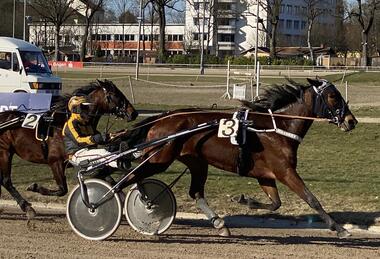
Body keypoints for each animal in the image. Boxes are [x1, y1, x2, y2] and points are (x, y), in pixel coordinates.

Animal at [0, 80, 137, 218]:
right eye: (116, 95)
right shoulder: (55, 162)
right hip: (5, 152)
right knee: (6, 181)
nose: (133, 113)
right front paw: (35, 187)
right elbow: (62, 189)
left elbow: (107, 177)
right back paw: (27, 207)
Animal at [120, 77, 358, 240]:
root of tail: (162, 118)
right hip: (159, 160)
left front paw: (244, 200)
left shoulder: (266, 175)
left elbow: (276, 204)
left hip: (196, 162)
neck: (277, 129)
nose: (351, 121)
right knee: (131, 177)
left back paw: (220, 224)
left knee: (195, 192)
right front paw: (340, 229)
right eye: (333, 96)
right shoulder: (285, 171)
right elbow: (312, 199)